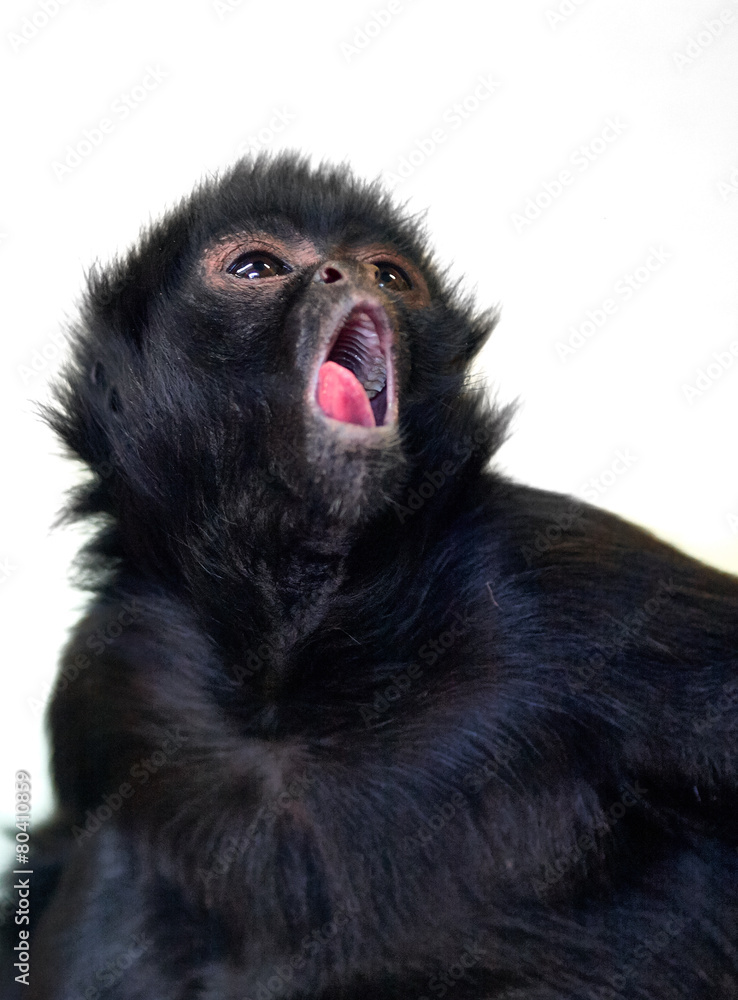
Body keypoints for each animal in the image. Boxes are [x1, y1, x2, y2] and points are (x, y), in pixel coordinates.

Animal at [2, 152, 737, 999]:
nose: (345, 273)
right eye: (256, 267)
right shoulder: (113, 675)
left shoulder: (558, 584)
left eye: (390, 275)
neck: (293, 688)